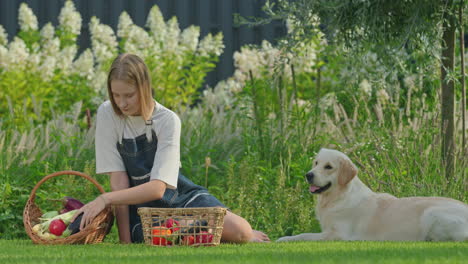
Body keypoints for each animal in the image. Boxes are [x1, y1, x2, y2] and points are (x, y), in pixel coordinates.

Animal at [278, 148, 468, 241]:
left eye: (328, 167)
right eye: (316, 163)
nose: (308, 175)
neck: (339, 197)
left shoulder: (337, 234)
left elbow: (303, 235)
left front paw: (283, 239)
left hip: (431, 214)